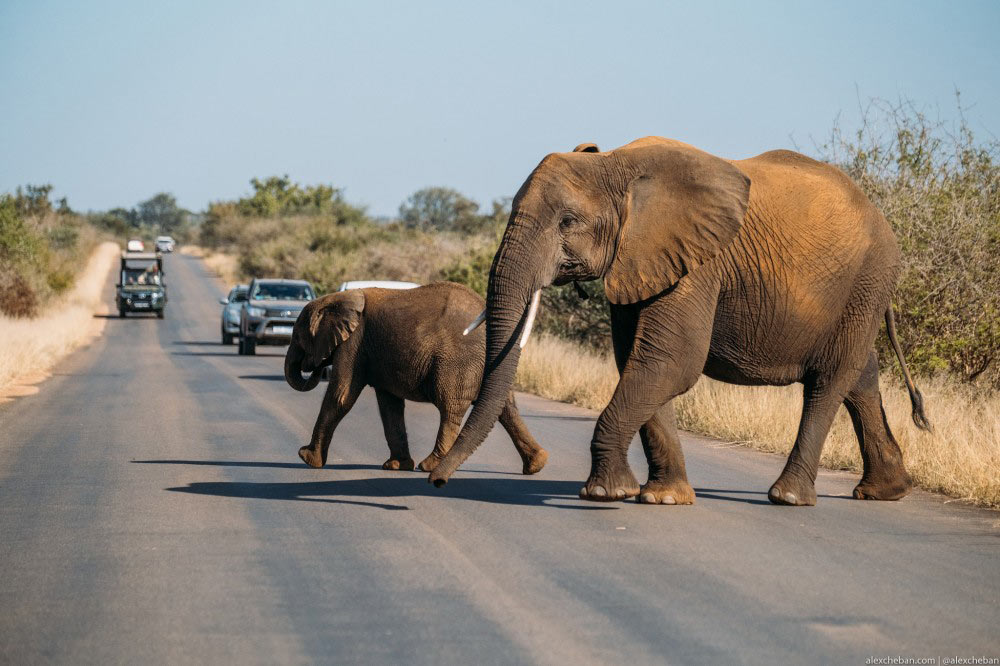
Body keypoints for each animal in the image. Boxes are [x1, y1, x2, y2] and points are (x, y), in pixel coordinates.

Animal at [282, 280, 548, 472]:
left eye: (298, 336)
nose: (315, 365)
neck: (336, 300)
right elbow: (389, 406)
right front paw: (396, 466)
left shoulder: (354, 344)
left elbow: (341, 396)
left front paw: (306, 458)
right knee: (506, 409)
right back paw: (536, 465)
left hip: (458, 362)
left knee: (450, 407)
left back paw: (430, 466)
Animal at [426, 137, 924, 506]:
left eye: (567, 222)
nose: (437, 481)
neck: (618, 165)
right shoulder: (638, 259)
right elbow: (640, 362)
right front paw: (661, 497)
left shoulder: (697, 260)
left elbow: (672, 361)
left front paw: (604, 493)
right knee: (860, 374)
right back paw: (886, 492)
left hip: (867, 280)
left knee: (828, 381)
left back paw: (788, 497)